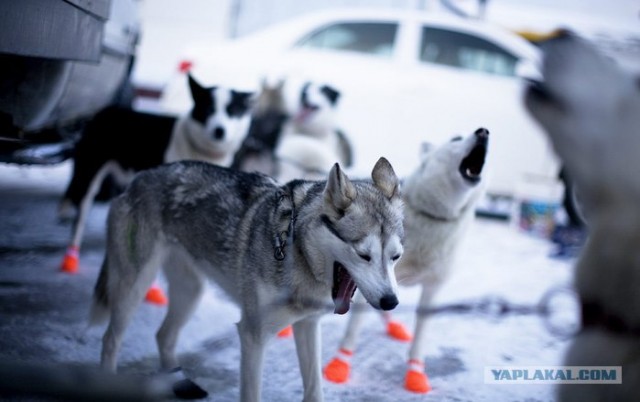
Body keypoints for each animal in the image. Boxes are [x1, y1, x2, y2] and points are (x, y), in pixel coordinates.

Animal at [57, 74, 252, 274]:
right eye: (208, 109)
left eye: (232, 111)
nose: (219, 131)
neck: (200, 150)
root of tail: (105, 111)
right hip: (89, 174)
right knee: (79, 214)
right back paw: (71, 255)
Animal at [89, 158, 402, 402]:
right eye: (364, 256)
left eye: (396, 257)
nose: (391, 302)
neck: (296, 252)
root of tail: (137, 179)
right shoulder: (253, 336)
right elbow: (252, 392)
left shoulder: (307, 325)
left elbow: (314, 389)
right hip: (135, 287)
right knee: (110, 339)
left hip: (190, 292)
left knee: (163, 335)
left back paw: (179, 384)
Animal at [324, 128, 490, 392]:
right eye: (456, 138)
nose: (483, 132)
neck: (434, 217)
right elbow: (353, 328)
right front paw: (340, 364)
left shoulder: (431, 288)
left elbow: (419, 336)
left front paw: (416, 373)